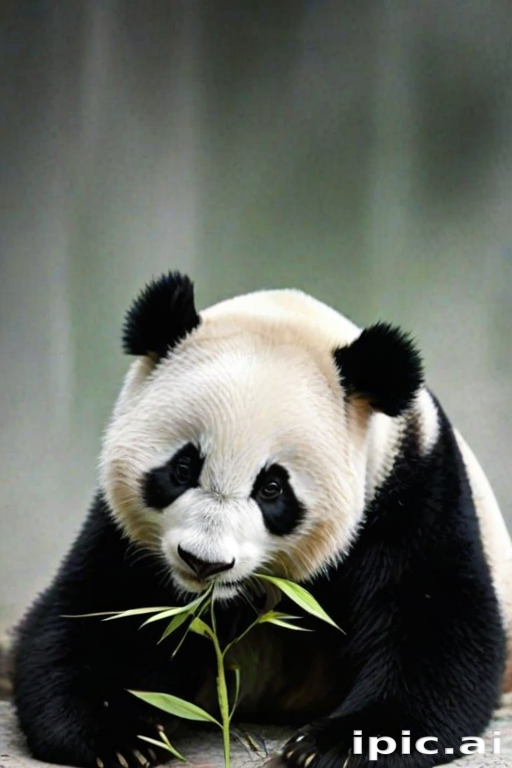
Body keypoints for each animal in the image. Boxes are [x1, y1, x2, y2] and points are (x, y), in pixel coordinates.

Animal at [12, 272, 512, 768]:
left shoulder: (413, 487)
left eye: (272, 488)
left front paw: (336, 745)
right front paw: (120, 737)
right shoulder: (124, 538)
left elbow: (438, 627)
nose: (203, 562)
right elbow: (91, 617)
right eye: (183, 468)